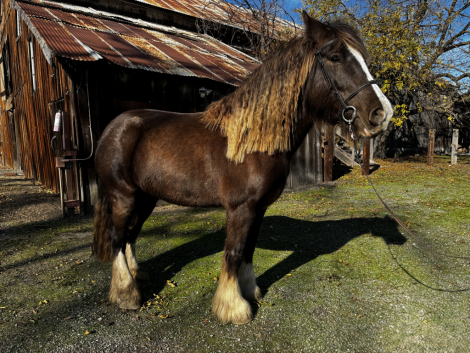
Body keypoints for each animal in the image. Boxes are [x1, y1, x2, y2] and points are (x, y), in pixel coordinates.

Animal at [91, 12, 392, 324]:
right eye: (335, 57)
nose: (382, 114)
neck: (252, 140)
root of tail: (112, 128)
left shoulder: (258, 208)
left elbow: (248, 251)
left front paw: (250, 291)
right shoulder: (240, 208)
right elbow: (234, 252)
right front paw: (233, 307)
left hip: (146, 198)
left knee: (130, 236)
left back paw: (139, 278)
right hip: (123, 196)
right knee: (117, 238)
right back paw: (127, 294)